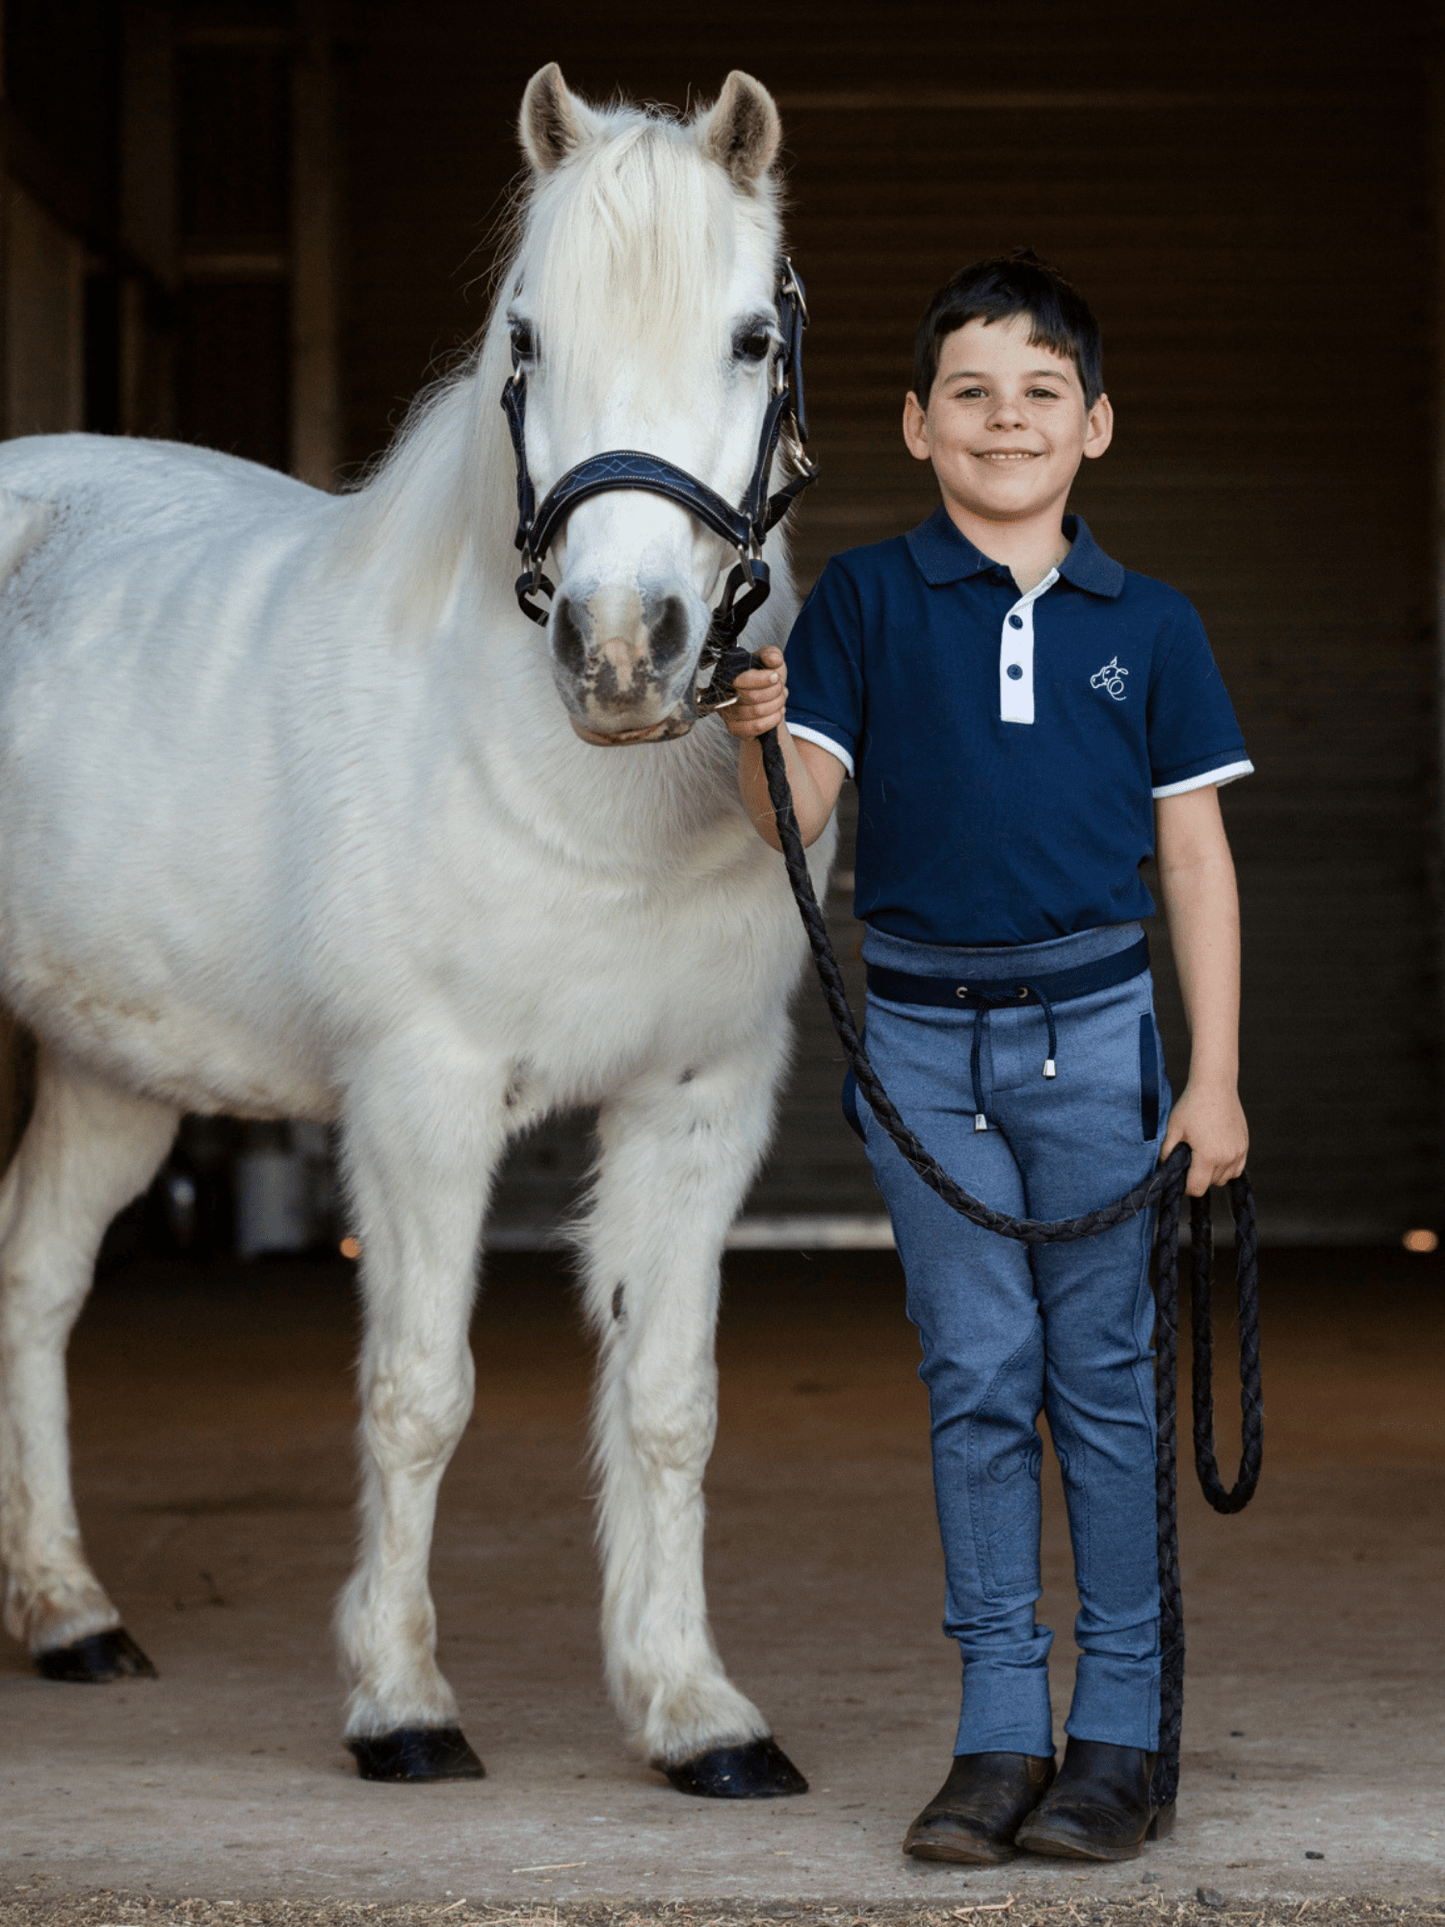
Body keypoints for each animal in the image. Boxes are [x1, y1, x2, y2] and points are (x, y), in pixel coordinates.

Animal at [0, 64, 832, 1803]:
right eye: (525, 335)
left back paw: (71, 1613)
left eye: (749, 337)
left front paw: (694, 1708)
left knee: (35, 1273)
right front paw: (400, 1701)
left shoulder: (700, 1102)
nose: (621, 655)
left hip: (116, 1063)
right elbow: (417, 1395)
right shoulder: (420, 1102)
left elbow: (668, 1401)